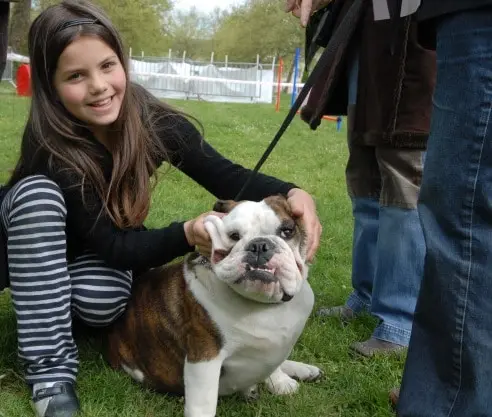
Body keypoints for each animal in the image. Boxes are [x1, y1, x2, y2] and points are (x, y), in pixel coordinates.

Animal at [106, 195, 322, 417]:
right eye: (233, 236)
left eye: (287, 231)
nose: (259, 245)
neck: (262, 304)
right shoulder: (205, 357)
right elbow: (203, 403)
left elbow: (274, 363)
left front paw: (280, 382)